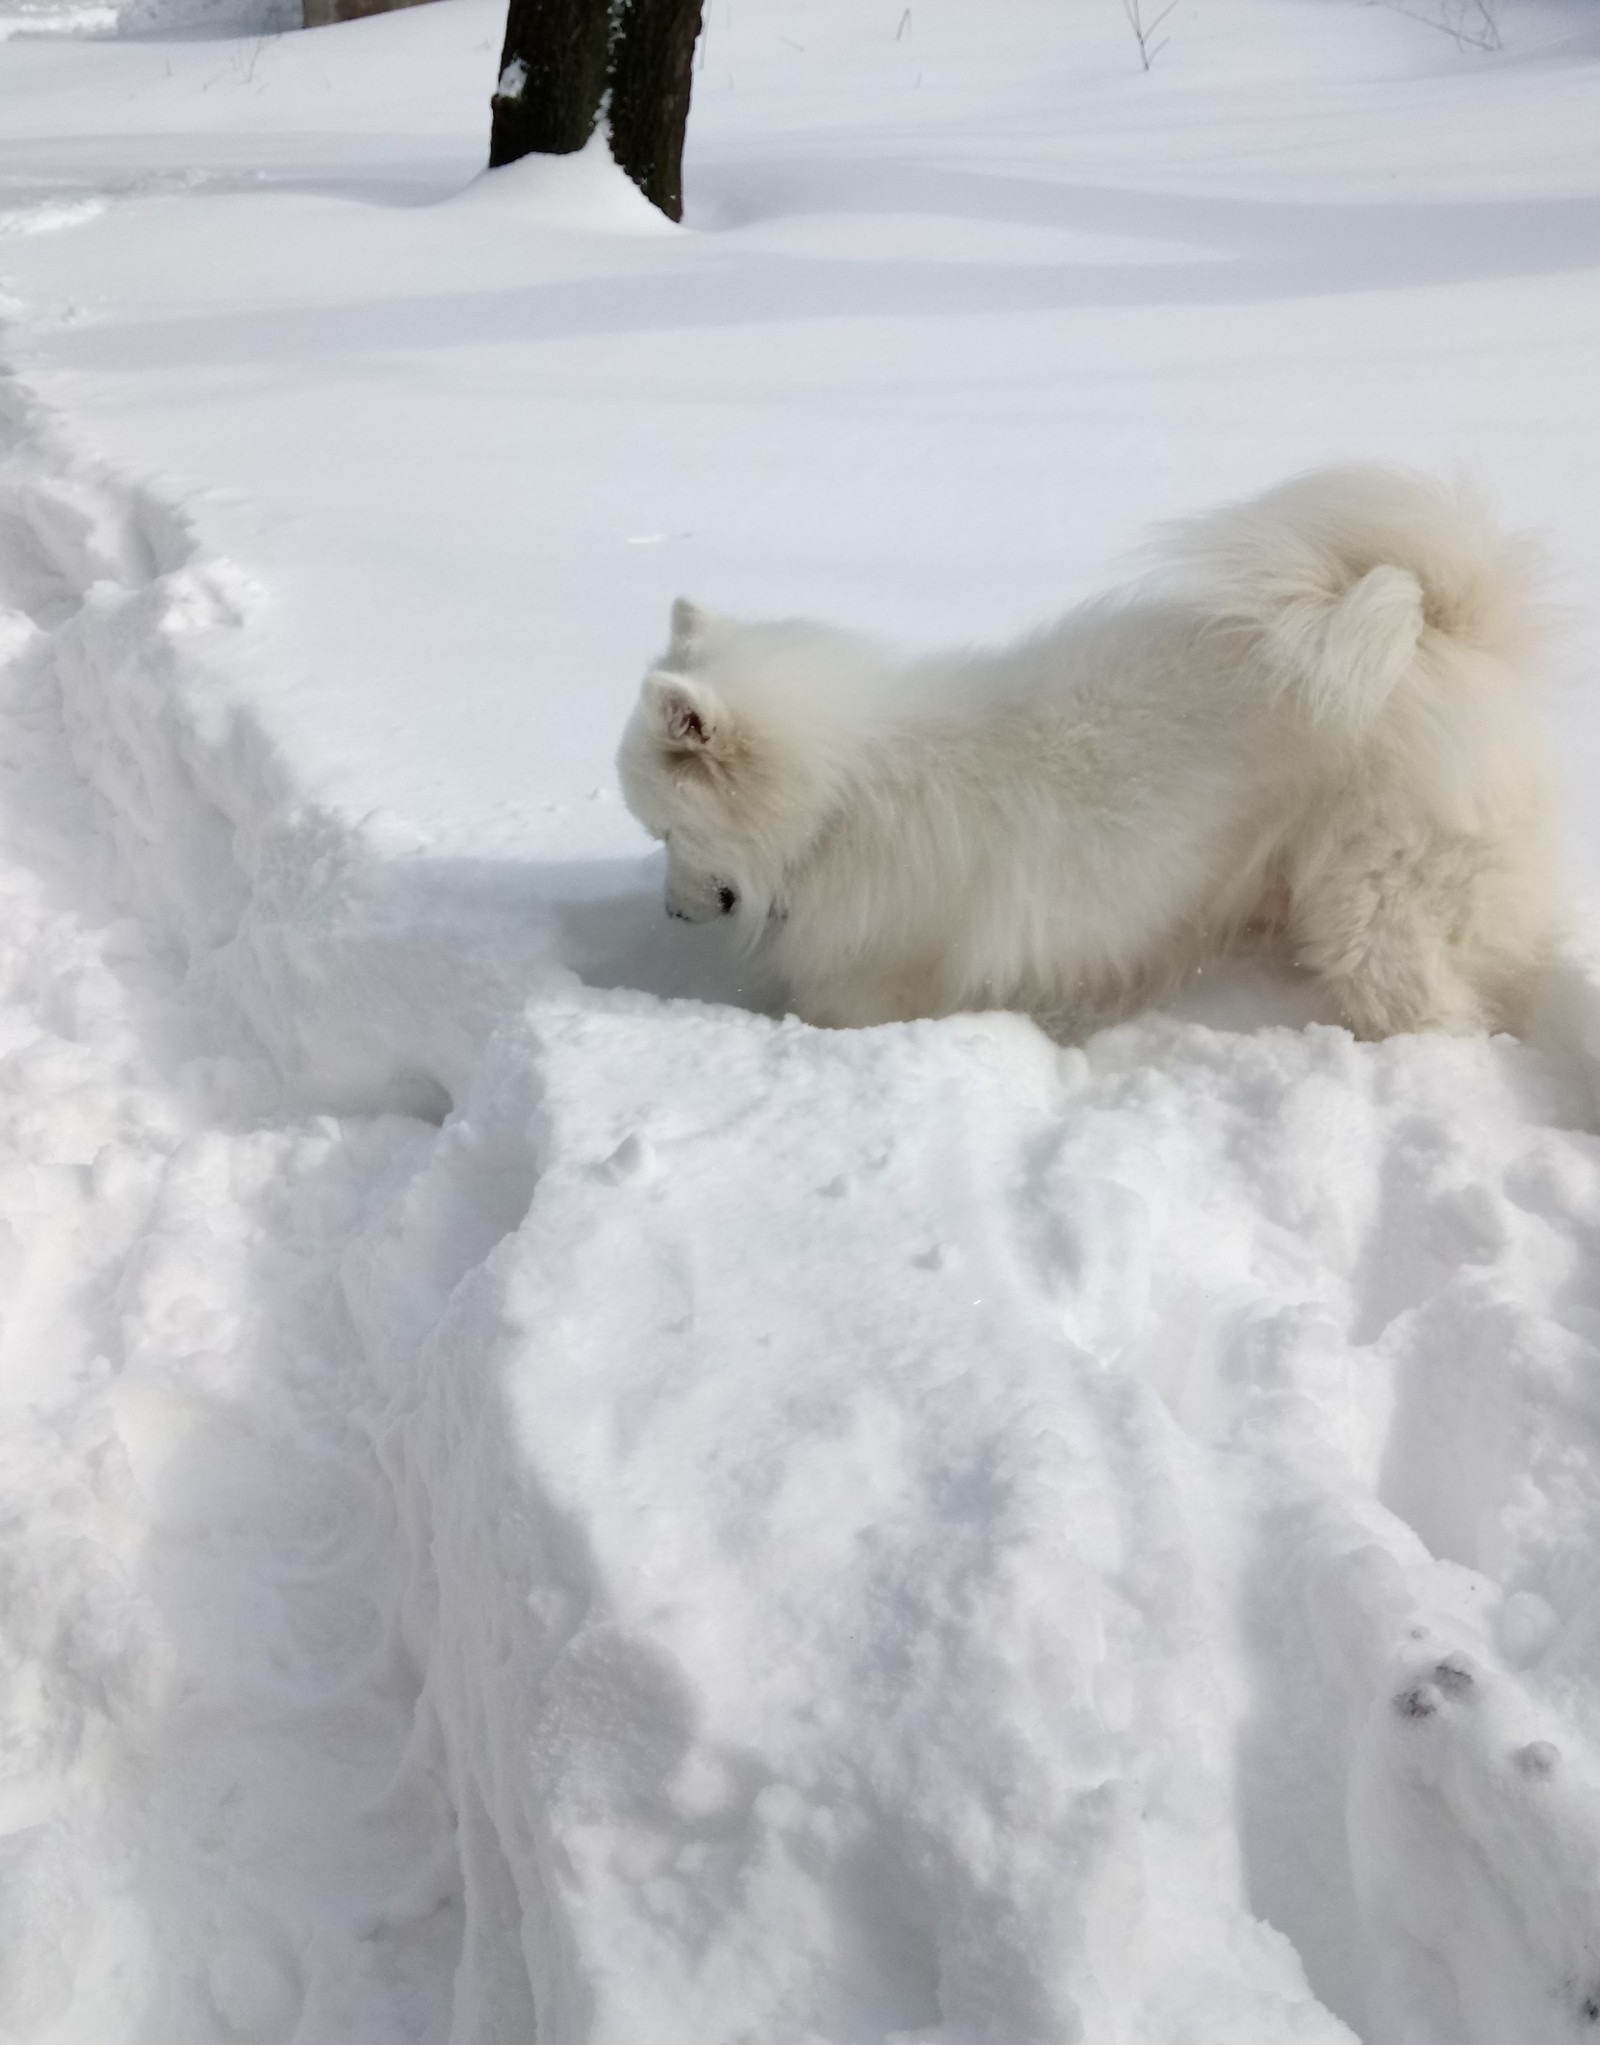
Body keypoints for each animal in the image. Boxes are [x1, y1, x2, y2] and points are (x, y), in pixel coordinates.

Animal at [617, 468, 1563, 1038]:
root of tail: (1445, 631)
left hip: (1376, 904)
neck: (838, 797)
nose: (668, 914)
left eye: (667, 832)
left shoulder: (877, 987)